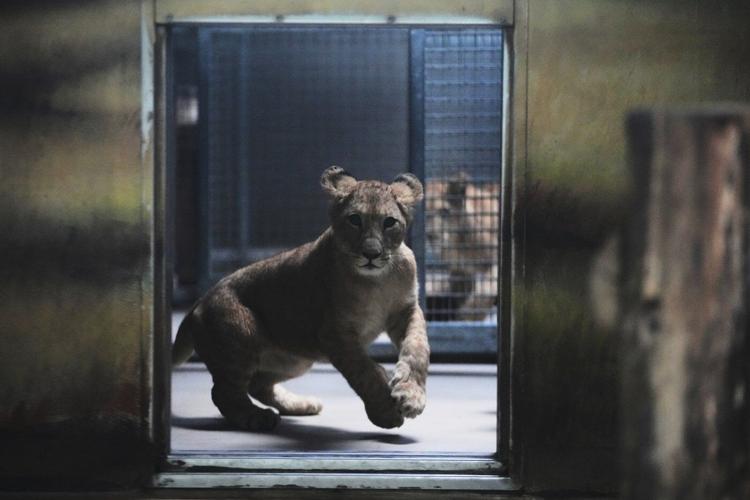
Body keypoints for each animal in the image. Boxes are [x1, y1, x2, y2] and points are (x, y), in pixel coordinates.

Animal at [172, 166, 430, 431]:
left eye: (389, 222)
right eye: (354, 219)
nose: (371, 254)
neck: (377, 280)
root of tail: (198, 304)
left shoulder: (407, 310)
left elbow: (417, 348)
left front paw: (411, 396)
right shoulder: (333, 333)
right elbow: (364, 370)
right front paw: (385, 411)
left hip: (295, 360)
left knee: (258, 385)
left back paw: (301, 404)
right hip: (240, 334)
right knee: (224, 393)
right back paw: (258, 417)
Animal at [425, 176, 499, 322]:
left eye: (444, 211)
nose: (430, 235)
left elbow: (486, 289)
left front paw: (469, 315)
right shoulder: (460, 271)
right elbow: (458, 293)